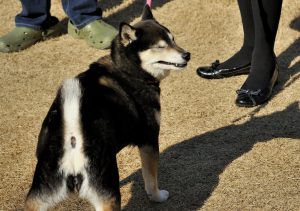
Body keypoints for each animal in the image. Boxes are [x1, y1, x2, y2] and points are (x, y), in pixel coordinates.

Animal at [25, 5, 190, 211]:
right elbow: (151, 178)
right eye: (160, 46)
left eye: (173, 39)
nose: (187, 55)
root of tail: (72, 138)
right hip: (107, 189)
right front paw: (158, 196)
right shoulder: (149, 140)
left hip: (43, 187)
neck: (128, 69)